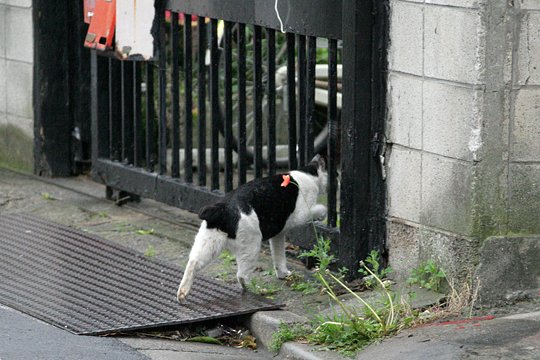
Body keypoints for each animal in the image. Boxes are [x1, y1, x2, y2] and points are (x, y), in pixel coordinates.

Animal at [178, 155, 330, 304]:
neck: (309, 173)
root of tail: (222, 210)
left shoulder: (278, 236)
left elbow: (279, 256)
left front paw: (282, 274)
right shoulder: (303, 213)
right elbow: (321, 208)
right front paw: (322, 215)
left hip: (209, 243)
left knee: (193, 263)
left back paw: (182, 293)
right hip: (251, 247)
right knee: (242, 276)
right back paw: (255, 290)